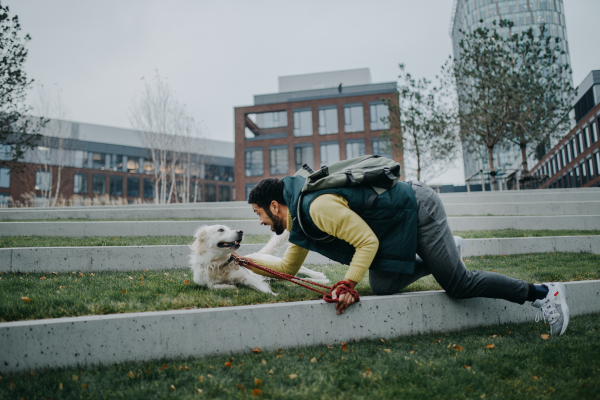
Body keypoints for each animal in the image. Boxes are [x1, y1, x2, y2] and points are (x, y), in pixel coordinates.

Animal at [189, 223, 328, 296]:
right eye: (220, 230)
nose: (241, 231)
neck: (217, 264)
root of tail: (260, 253)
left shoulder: (247, 277)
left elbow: (264, 289)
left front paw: (274, 295)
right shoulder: (203, 282)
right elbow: (212, 286)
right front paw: (229, 286)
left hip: (275, 265)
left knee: (301, 269)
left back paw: (320, 276)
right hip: (276, 274)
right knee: (295, 277)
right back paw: (322, 280)